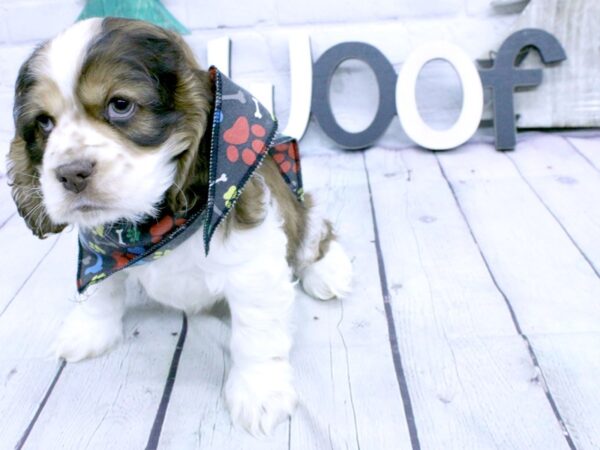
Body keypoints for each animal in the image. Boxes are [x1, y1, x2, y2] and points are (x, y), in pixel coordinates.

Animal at [8, 18, 352, 436]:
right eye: (44, 122)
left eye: (120, 105)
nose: (71, 173)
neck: (151, 225)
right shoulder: (98, 250)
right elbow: (99, 291)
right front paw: (88, 331)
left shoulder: (253, 270)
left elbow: (256, 336)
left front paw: (259, 392)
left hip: (297, 204)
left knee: (314, 228)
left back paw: (327, 270)